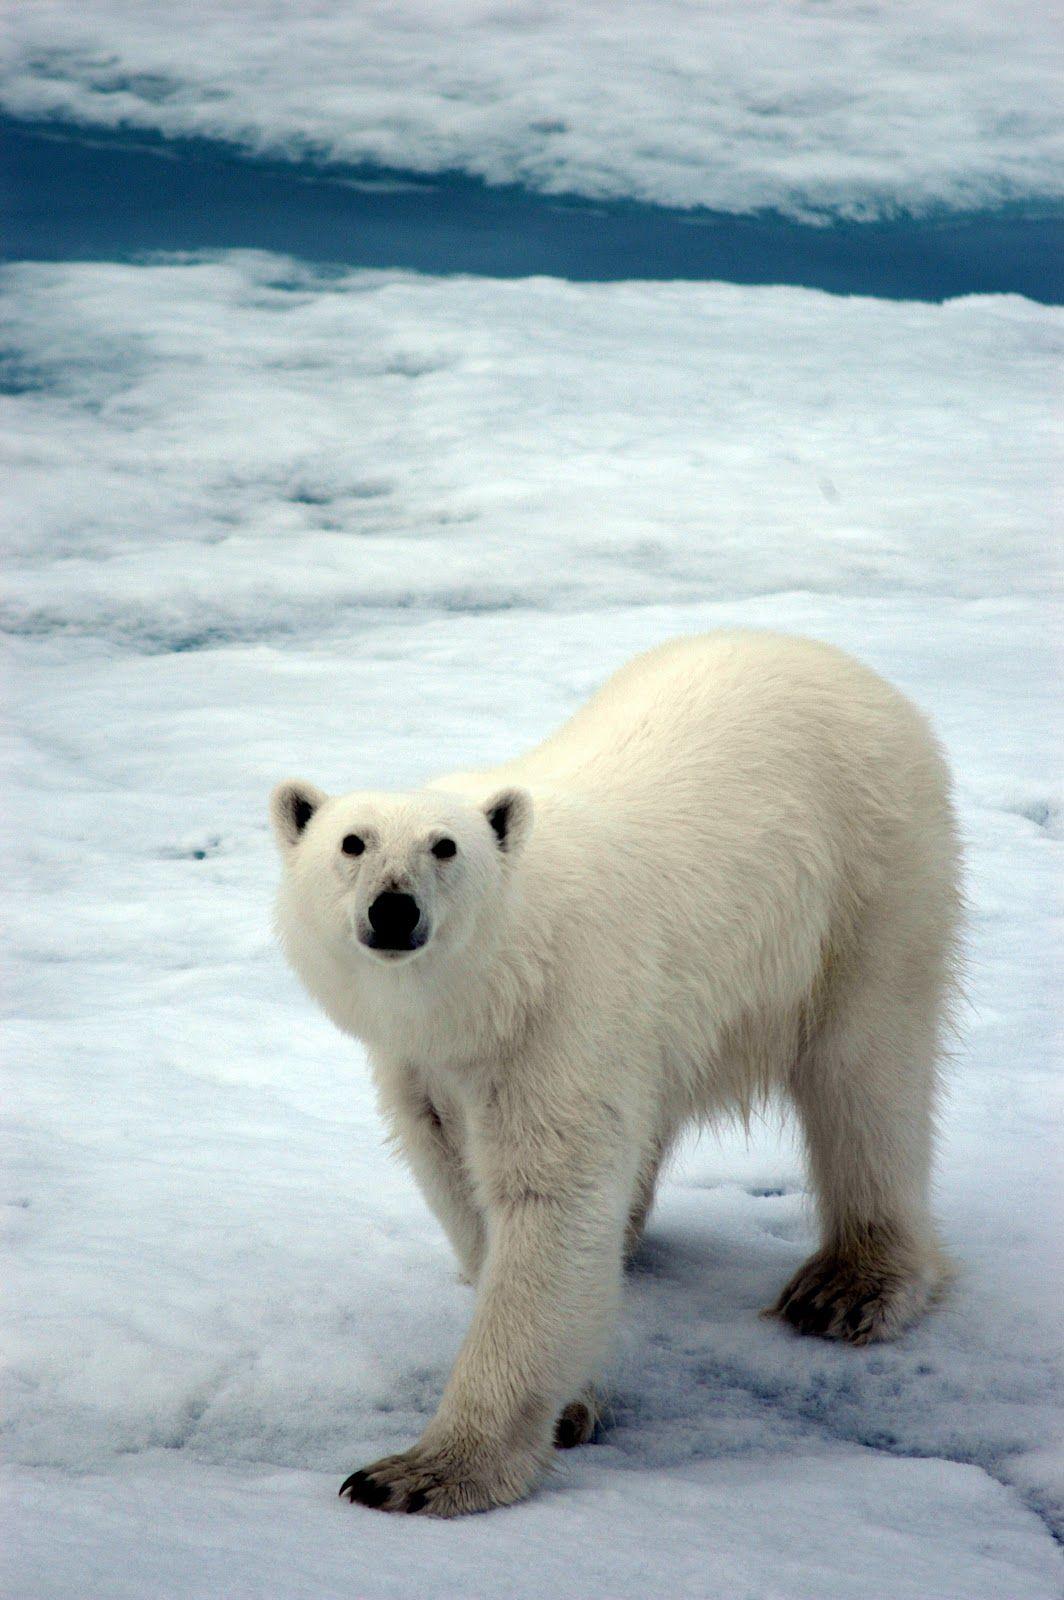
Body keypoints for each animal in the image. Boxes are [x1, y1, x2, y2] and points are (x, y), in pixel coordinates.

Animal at [270, 630, 961, 1517]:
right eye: (351, 842)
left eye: (444, 847)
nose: (394, 909)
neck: (493, 989)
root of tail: (834, 659)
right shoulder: (424, 1065)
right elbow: (461, 1180)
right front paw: (567, 1395)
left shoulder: (562, 1013)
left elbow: (549, 1202)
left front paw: (421, 1472)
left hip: (872, 876)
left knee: (867, 1074)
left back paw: (849, 1286)